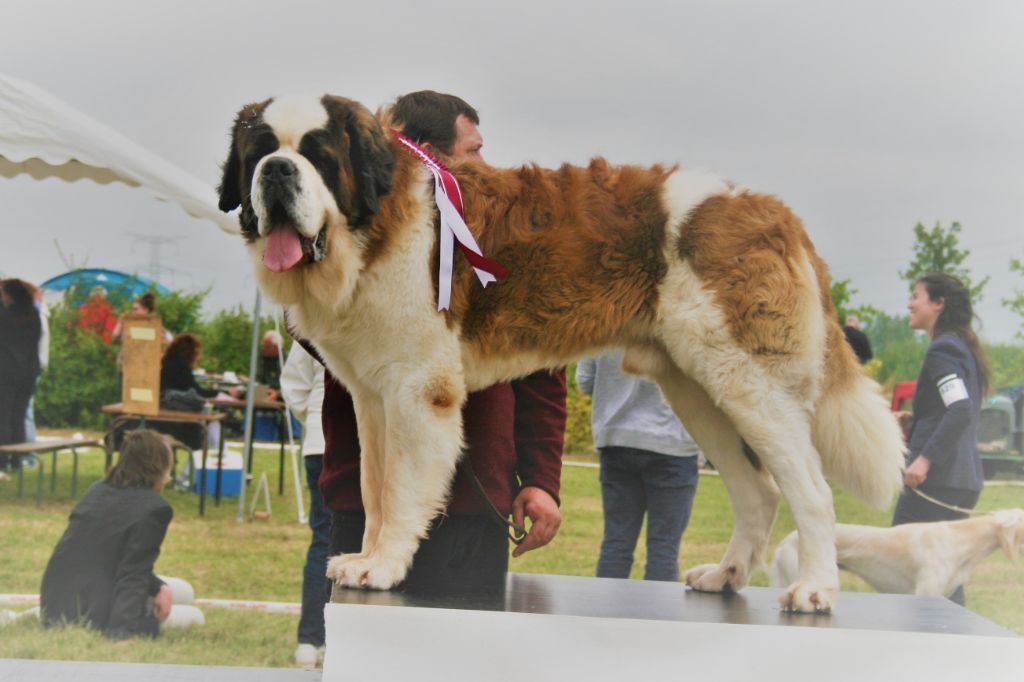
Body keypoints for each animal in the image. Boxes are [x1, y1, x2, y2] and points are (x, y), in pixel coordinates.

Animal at [216, 91, 905, 610]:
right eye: (259, 151)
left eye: (318, 155)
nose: (277, 171)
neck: (373, 226)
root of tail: (774, 210)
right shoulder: (372, 395)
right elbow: (373, 485)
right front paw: (368, 555)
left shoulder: (416, 391)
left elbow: (405, 488)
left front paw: (383, 567)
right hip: (699, 389)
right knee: (757, 490)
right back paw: (726, 577)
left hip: (747, 380)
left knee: (810, 489)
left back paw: (815, 589)